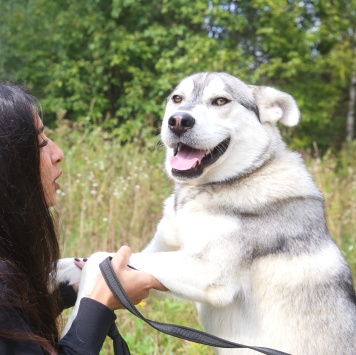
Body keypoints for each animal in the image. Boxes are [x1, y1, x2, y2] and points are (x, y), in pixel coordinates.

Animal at [61, 73, 356, 355]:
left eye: (220, 101)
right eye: (177, 98)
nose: (178, 121)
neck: (197, 194)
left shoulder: (207, 270)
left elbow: (96, 260)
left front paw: (72, 328)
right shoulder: (157, 252)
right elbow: (79, 260)